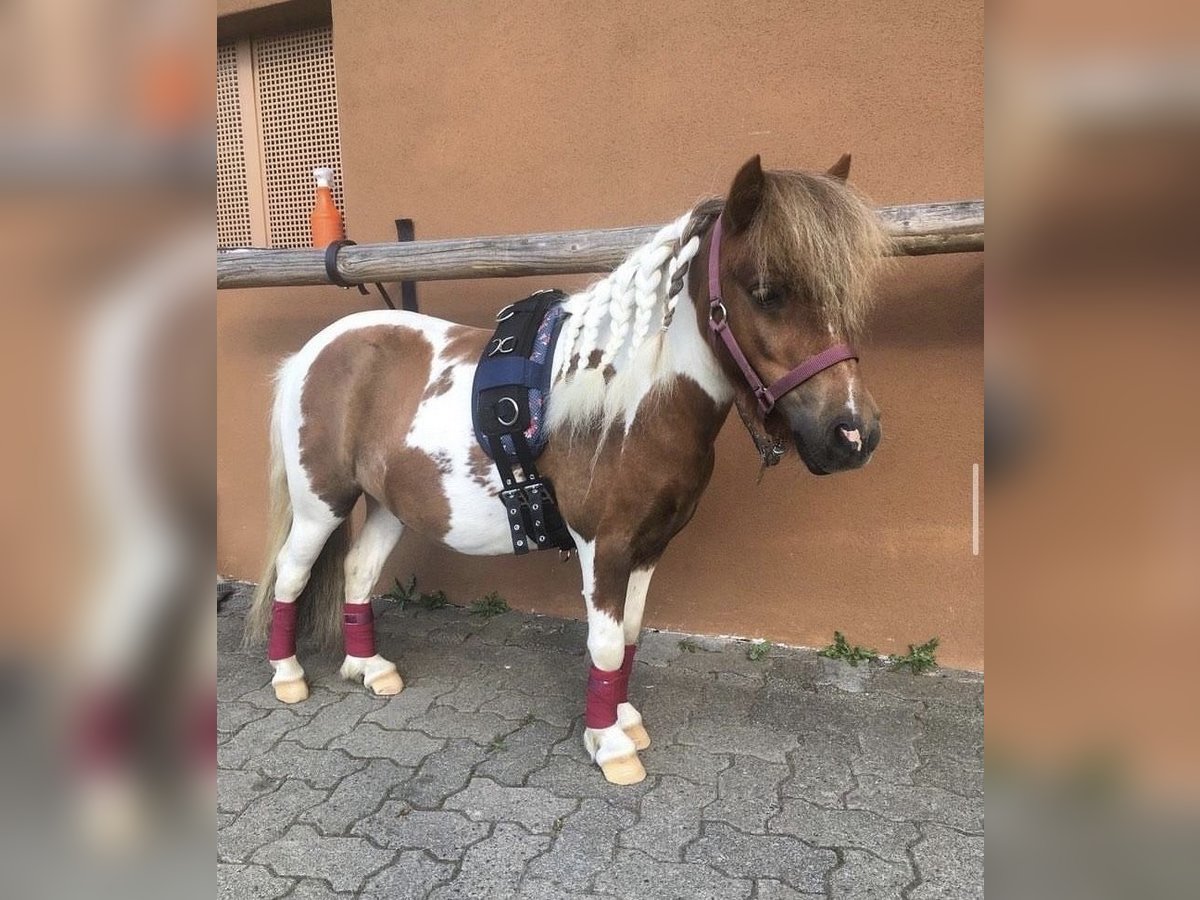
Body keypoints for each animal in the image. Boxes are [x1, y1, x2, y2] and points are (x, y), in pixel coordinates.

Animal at [243, 158, 888, 787]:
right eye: (766, 292)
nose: (852, 435)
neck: (630, 404)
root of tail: (314, 352)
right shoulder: (604, 547)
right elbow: (604, 645)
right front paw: (611, 748)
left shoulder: (649, 548)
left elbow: (628, 638)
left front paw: (624, 721)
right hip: (321, 505)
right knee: (291, 575)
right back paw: (288, 675)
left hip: (387, 505)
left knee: (356, 570)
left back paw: (369, 668)